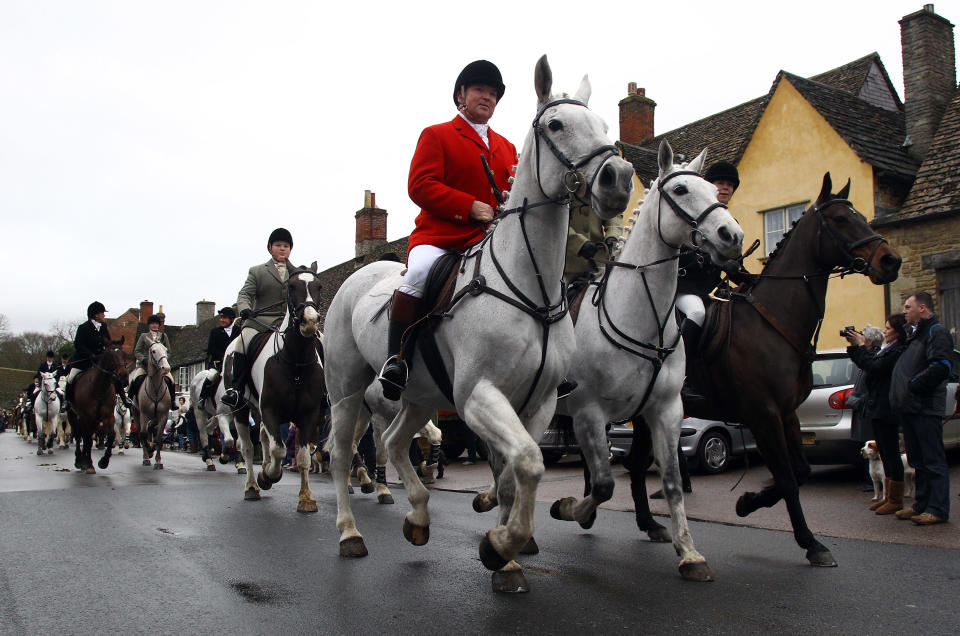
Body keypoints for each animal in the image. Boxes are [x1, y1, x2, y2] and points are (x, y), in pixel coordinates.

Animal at [69, 338, 128, 472]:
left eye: (124, 354)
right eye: (111, 355)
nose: (123, 376)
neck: (99, 387)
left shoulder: (108, 416)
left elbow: (111, 435)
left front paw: (104, 461)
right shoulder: (86, 416)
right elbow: (87, 439)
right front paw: (87, 463)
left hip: (94, 421)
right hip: (74, 416)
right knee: (78, 435)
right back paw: (80, 459)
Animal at [324, 57, 636, 592]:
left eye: (602, 125)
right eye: (557, 124)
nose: (618, 177)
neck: (531, 288)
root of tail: (358, 276)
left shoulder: (537, 402)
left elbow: (513, 473)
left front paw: (506, 554)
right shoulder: (477, 397)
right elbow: (529, 461)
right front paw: (501, 546)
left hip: (419, 395)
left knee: (395, 441)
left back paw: (418, 517)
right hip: (346, 391)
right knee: (345, 455)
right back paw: (348, 533)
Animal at [544, 143, 740, 580]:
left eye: (715, 193)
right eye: (681, 190)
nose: (731, 235)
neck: (639, 317)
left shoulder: (665, 410)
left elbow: (670, 478)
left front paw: (689, 551)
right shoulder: (589, 412)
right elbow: (605, 485)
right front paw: (567, 509)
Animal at [628, 173, 904, 568]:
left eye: (863, 217)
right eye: (839, 220)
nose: (891, 261)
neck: (773, 321)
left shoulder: (787, 413)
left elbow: (800, 472)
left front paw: (749, 502)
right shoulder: (764, 415)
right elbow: (787, 478)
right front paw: (810, 542)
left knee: (635, 464)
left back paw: (649, 524)